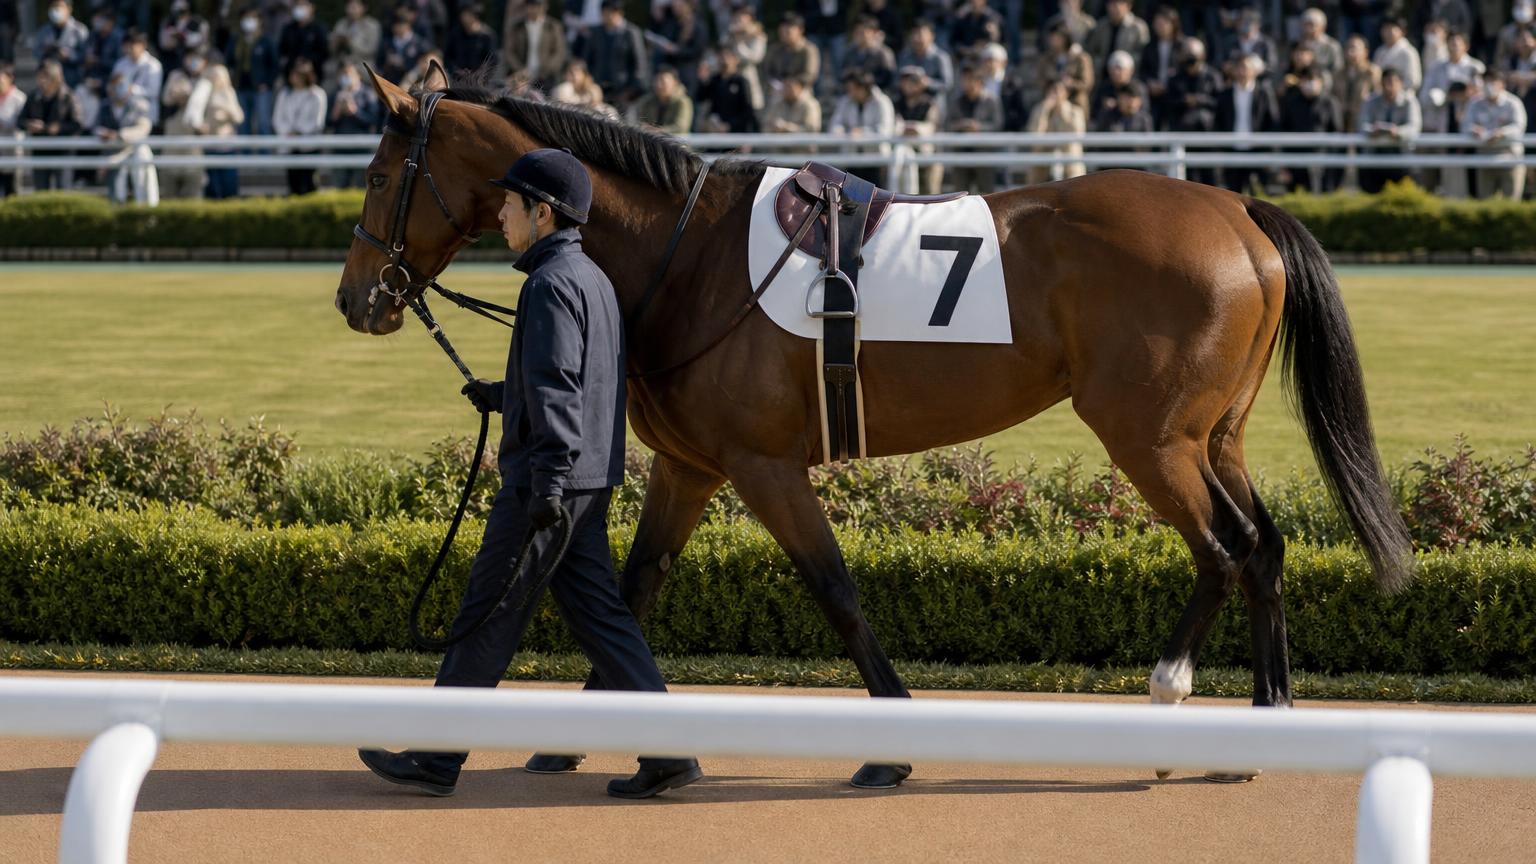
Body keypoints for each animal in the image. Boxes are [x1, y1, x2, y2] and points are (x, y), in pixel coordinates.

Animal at [335, 64, 1412, 788]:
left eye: (383, 173)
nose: (357, 299)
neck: (686, 256)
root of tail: (1237, 207)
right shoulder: (691, 466)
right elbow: (635, 592)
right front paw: (587, 742)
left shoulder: (765, 465)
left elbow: (837, 591)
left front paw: (889, 750)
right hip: (1210, 436)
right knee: (1264, 547)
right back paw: (1262, 723)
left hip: (1147, 438)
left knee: (1223, 551)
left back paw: (1171, 688)